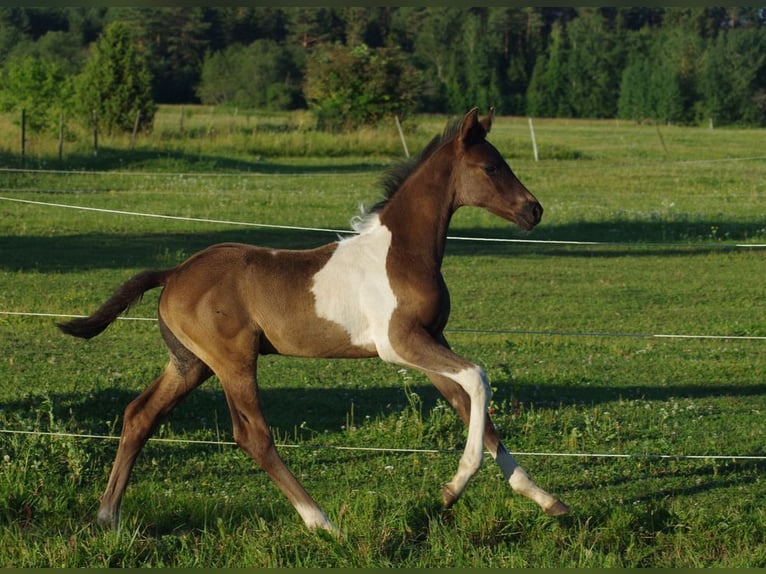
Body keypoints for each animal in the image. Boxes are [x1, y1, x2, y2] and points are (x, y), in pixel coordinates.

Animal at [58, 108, 568, 536]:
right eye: (491, 167)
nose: (534, 210)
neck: (401, 252)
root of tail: (174, 272)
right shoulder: (398, 343)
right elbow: (478, 379)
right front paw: (452, 489)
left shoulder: (429, 339)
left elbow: (469, 406)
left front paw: (545, 499)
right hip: (233, 361)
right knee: (252, 435)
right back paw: (321, 521)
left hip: (190, 364)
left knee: (140, 415)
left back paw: (108, 517)